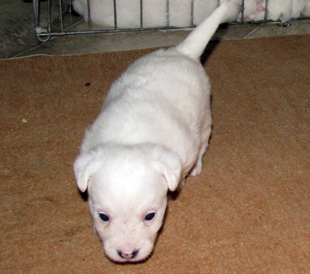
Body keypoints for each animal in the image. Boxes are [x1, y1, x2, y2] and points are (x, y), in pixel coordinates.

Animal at [74, 2, 229, 264]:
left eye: (150, 216)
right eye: (103, 217)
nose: (127, 254)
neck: (131, 139)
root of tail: (182, 52)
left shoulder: (184, 149)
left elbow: (182, 169)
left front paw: (182, 180)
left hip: (205, 116)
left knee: (203, 141)